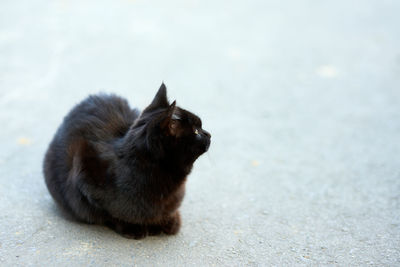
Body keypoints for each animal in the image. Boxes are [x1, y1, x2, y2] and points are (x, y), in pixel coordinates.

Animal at [43, 84, 211, 239]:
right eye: (196, 131)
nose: (209, 134)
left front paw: (168, 221)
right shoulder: (83, 171)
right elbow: (111, 214)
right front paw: (133, 227)